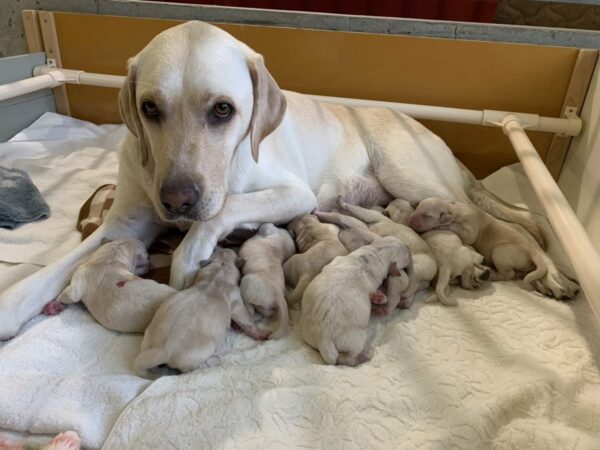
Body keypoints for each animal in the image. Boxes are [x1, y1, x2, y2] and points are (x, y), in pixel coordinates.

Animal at [136, 248, 270, 378]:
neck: (217, 273)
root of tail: (162, 350)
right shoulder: (237, 304)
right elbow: (248, 321)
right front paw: (259, 329)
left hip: (147, 337)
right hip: (203, 351)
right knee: (187, 370)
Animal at [300, 236, 412, 366]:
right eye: (407, 255)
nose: (409, 247)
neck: (377, 252)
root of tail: (323, 338)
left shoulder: (337, 260)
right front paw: (380, 298)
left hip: (307, 334)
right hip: (356, 339)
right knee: (345, 358)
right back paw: (361, 358)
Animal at [410, 199, 580, 300]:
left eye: (426, 215)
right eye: (418, 209)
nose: (410, 220)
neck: (454, 209)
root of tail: (533, 252)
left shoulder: (470, 227)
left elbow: (466, 235)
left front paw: (443, 226)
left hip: (500, 251)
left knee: (509, 274)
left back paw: (492, 274)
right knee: (528, 275)